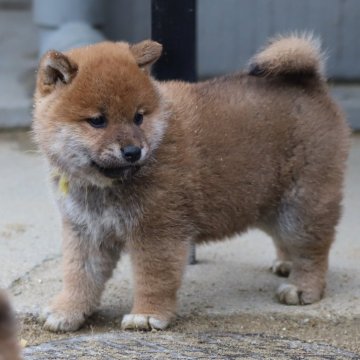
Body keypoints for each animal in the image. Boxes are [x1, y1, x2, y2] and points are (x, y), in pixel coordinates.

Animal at [33, 34, 348, 332]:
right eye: (98, 121)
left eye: (138, 117)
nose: (133, 151)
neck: (104, 187)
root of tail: (310, 83)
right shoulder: (86, 231)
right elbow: (79, 276)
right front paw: (67, 311)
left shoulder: (157, 232)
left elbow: (153, 278)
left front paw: (146, 315)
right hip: (267, 202)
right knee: (286, 239)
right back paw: (285, 263)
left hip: (301, 207)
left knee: (313, 251)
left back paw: (301, 287)